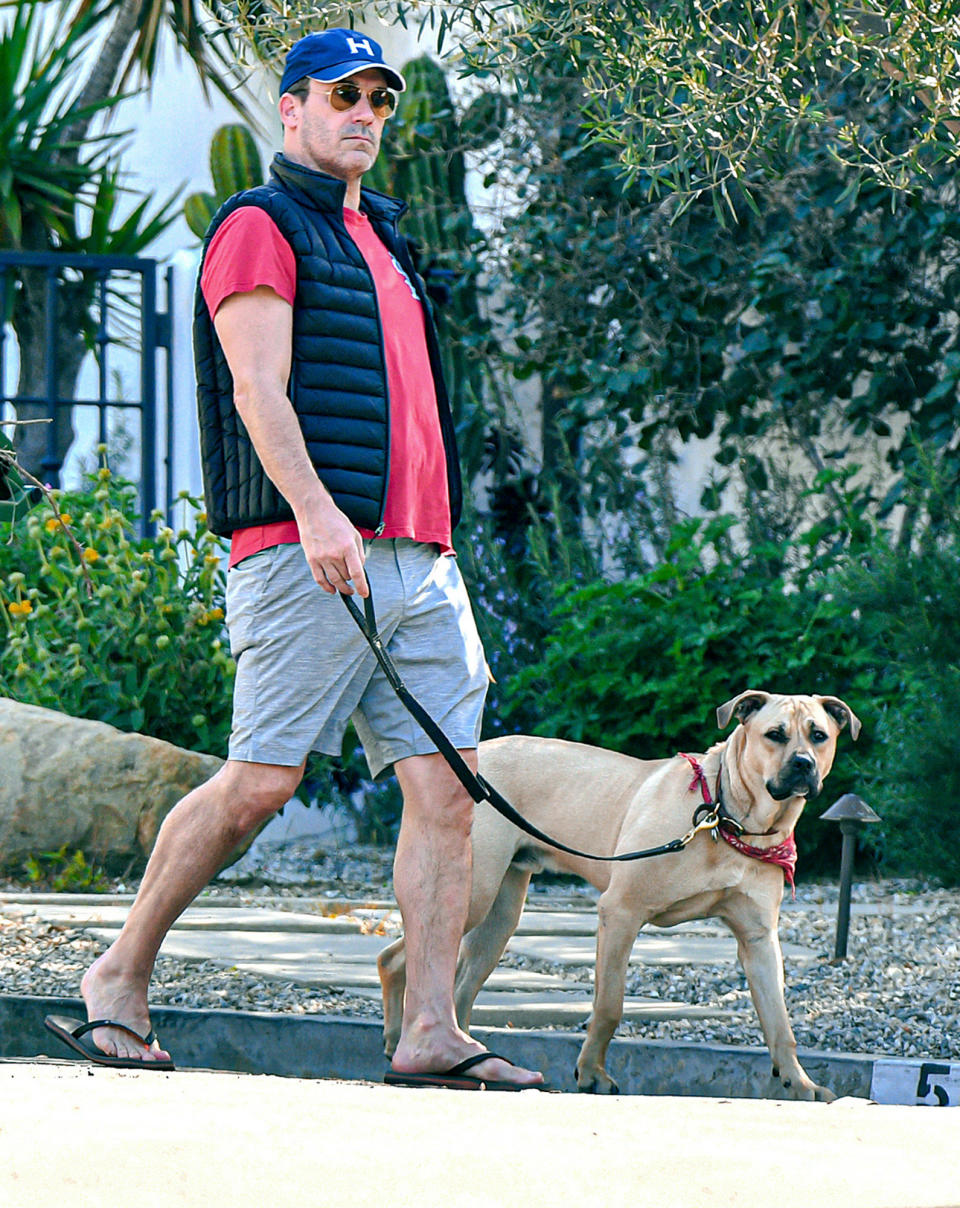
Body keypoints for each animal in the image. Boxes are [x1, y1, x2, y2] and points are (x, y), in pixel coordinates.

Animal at [376, 690, 864, 1096]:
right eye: (774, 735)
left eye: (819, 735)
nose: (802, 764)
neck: (729, 820)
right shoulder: (620, 913)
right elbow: (609, 1005)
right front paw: (592, 1074)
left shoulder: (759, 940)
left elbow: (780, 1023)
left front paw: (799, 1083)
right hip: (472, 893)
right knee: (396, 958)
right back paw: (400, 1041)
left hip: (499, 917)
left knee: (460, 988)